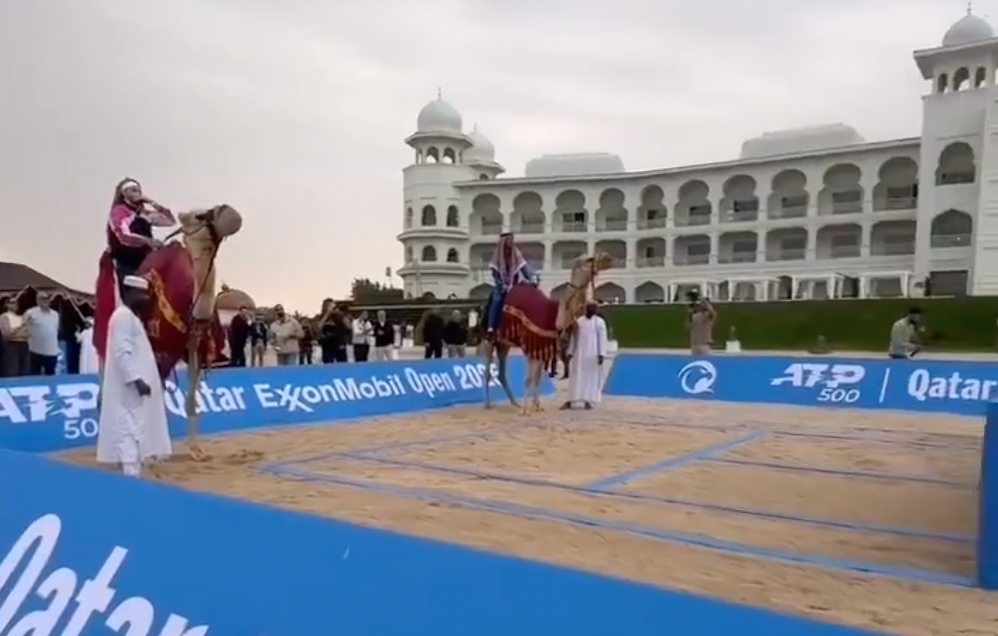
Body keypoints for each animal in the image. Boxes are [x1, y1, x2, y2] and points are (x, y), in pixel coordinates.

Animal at [482, 251, 612, 414]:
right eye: (589, 259)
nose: (608, 258)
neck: (554, 315)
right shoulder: (531, 344)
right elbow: (529, 379)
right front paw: (525, 410)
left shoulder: (542, 345)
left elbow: (537, 378)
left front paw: (536, 406)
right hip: (488, 340)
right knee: (487, 371)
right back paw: (488, 404)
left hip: (504, 344)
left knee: (501, 373)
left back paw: (514, 403)